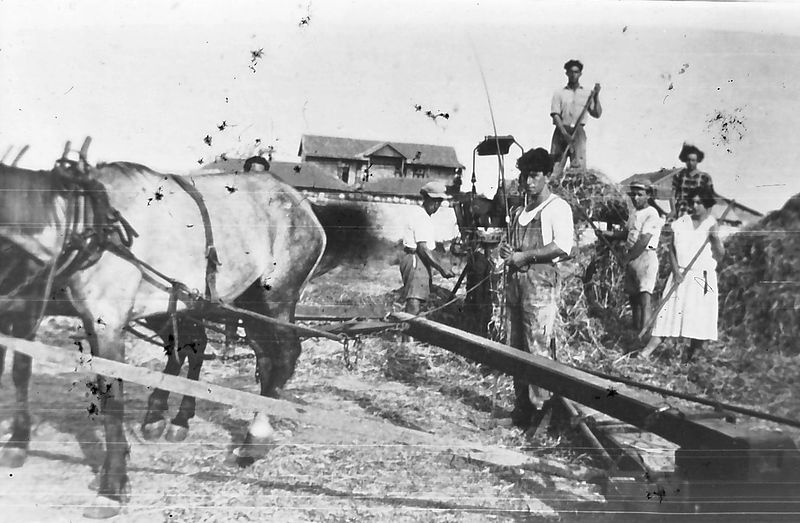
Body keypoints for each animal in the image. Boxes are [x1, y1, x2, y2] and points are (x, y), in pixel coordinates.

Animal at [0, 158, 326, 516]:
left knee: (282, 357)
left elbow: (110, 400)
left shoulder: (101, 323)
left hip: (276, 297)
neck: (86, 224)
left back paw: (253, 439)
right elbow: (20, 372)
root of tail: (299, 201)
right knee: (248, 355)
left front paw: (112, 487)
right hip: (234, 302)